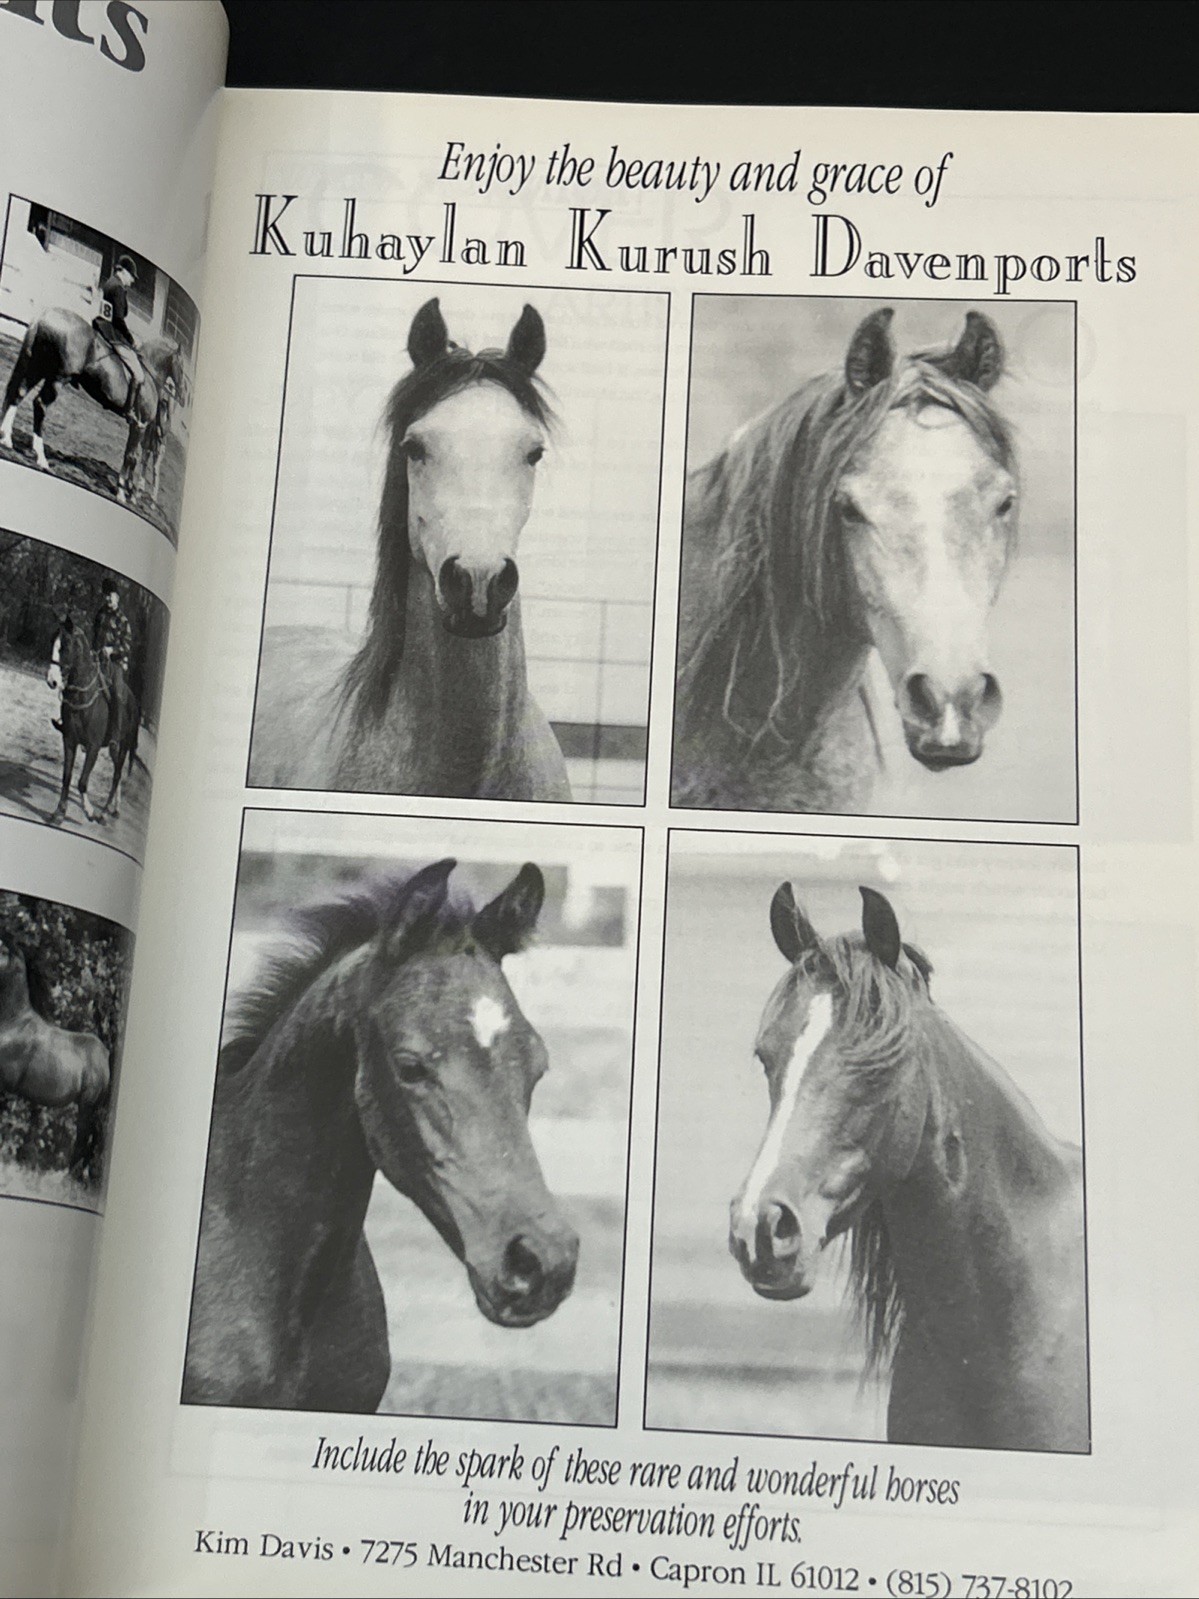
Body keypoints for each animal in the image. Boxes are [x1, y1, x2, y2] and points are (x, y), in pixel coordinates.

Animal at [0, 306, 185, 508]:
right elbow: (131, 457)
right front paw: (122, 493)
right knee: (39, 404)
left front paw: (127, 491)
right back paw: (41, 458)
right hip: (58, 377)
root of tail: (46, 315)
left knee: (18, 394)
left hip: (38, 368)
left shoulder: (135, 425)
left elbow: (130, 455)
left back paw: (6, 439)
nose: (183, 396)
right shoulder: (140, 424)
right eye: (182, 367)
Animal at [47, 617, 141, 826]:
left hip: (122, 746)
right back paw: (114, 808)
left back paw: (104, 813)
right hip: (115, 749)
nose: (52, 681)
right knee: (117, 772)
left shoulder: (93, 747)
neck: (83, 695)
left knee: (117, 775)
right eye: (52, 642)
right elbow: (67, 777)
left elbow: (82, 782)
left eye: (66, 645)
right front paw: (59, 812)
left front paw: (90, 812)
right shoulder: (69, 741)